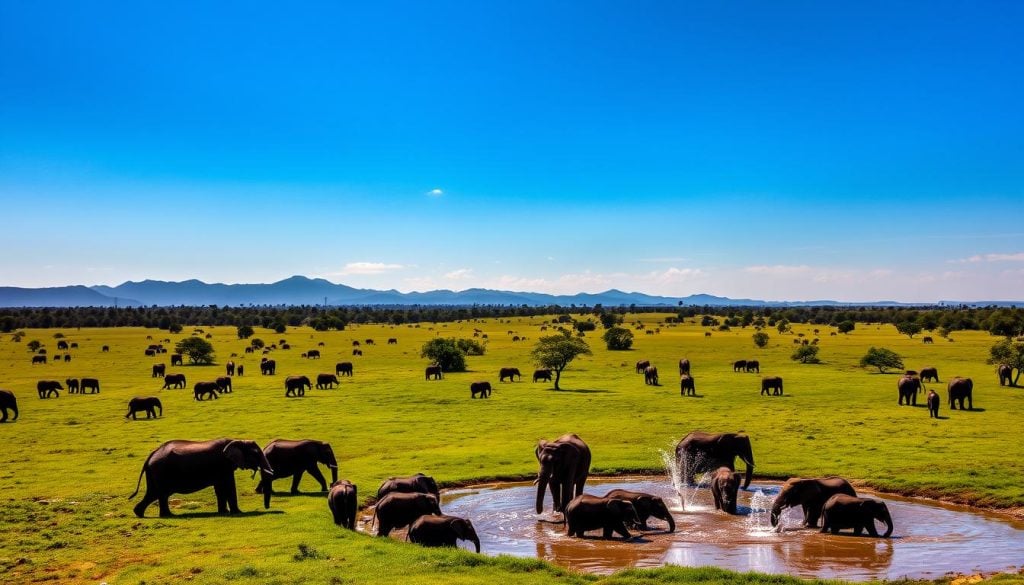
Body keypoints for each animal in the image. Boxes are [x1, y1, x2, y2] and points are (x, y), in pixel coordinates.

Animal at [126, 436, 272, 520]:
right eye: (256, 453)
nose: (267, 509)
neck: (238, 440)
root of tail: (151, 456)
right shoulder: (223, 465)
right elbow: (228, 486)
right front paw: (238, 513)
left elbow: (220, 488)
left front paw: (224, 512)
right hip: (160, 471)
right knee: (158, 493)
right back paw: (163, 515)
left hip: (155, 473)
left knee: (155, 493)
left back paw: (144, 514)